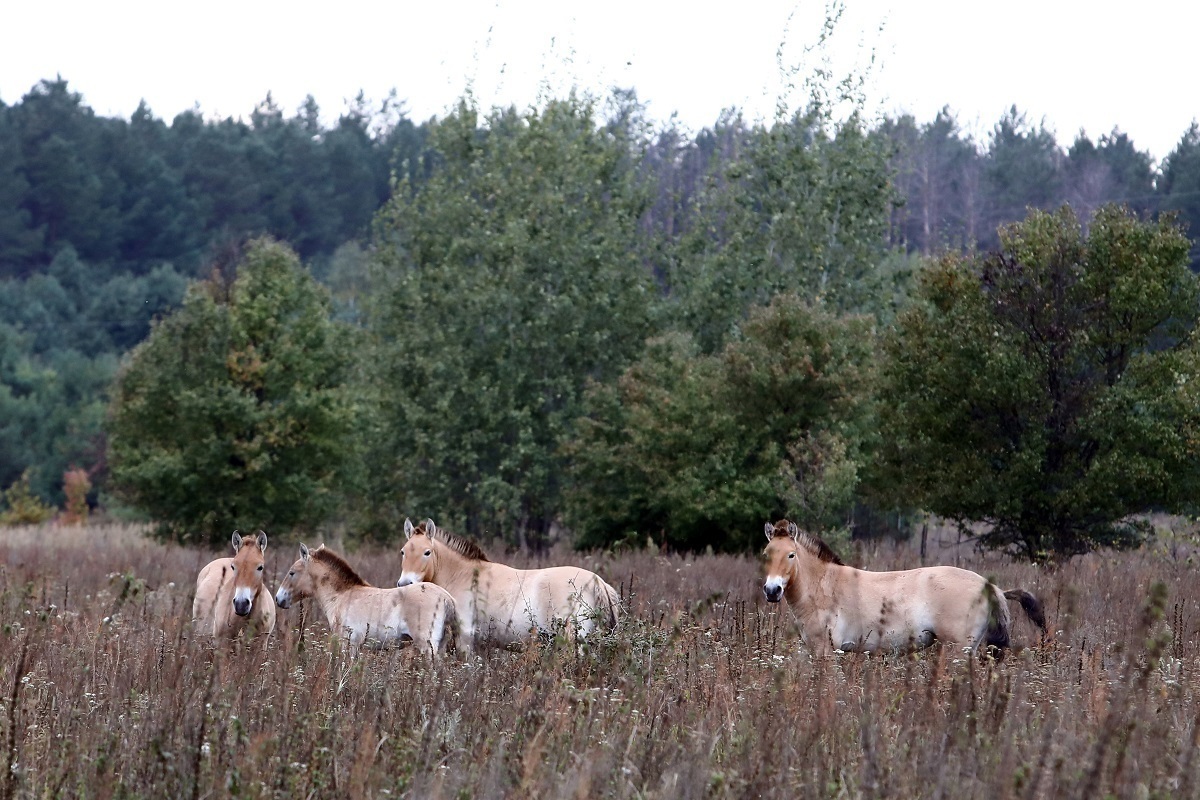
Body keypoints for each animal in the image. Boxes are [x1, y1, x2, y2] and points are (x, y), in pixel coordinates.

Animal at [274, 544, 456, 657]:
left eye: (292, 572)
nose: (278, 598)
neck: (342, 596)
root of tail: (446, 598)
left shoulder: (349, 644)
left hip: (428, 646)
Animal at [396, 515, 619, 652]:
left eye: (427, 552)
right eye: (403, 551)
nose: (405, 583)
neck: (463, 575)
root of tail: (597, 582)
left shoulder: (466, 637)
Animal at [763, 520, 1046, 657]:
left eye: (791, 555)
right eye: (766, 553)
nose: (772, 590)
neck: (823, 586)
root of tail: (990, 586)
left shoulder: (824, 651)